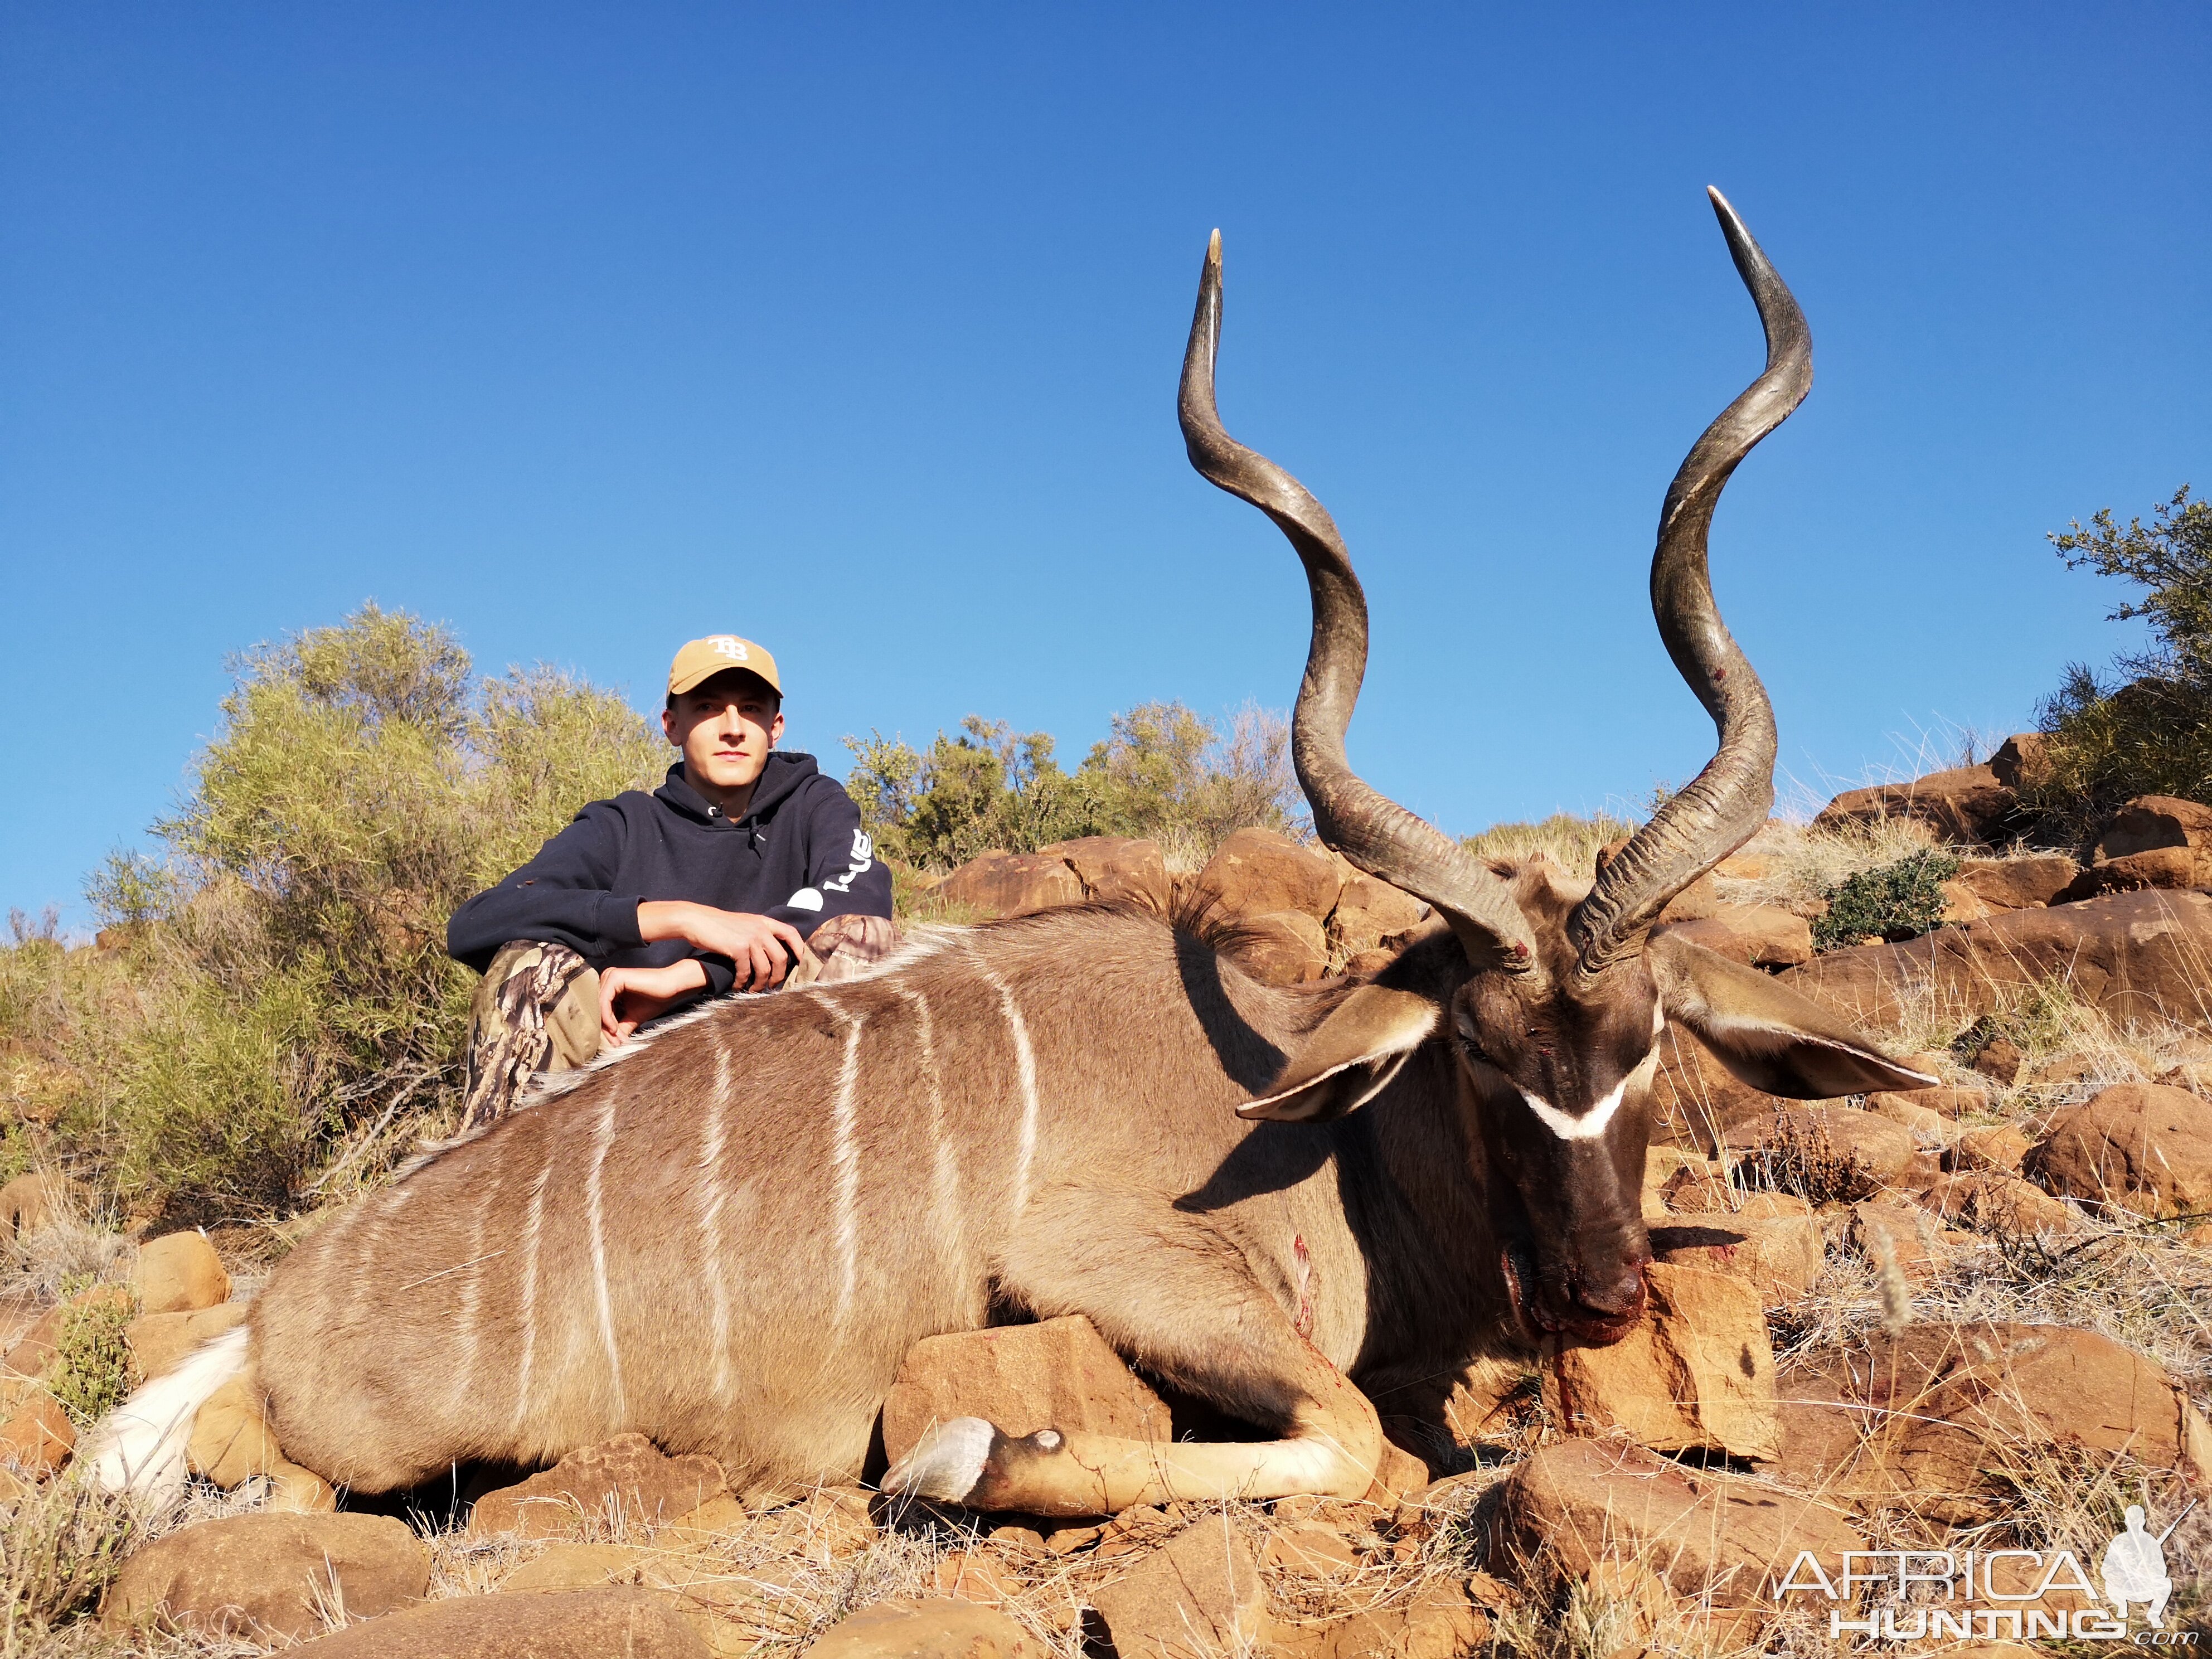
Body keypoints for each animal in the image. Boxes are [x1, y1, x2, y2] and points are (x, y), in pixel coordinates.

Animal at [95, 191, 1929, 1521]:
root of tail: (283, 1299)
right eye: (1476, 1053)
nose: (1598, 1294)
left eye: (1646, 1044)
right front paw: (970, 1456)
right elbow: (1340, 1434)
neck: (1316, 1126)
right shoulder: (1101, 1266)